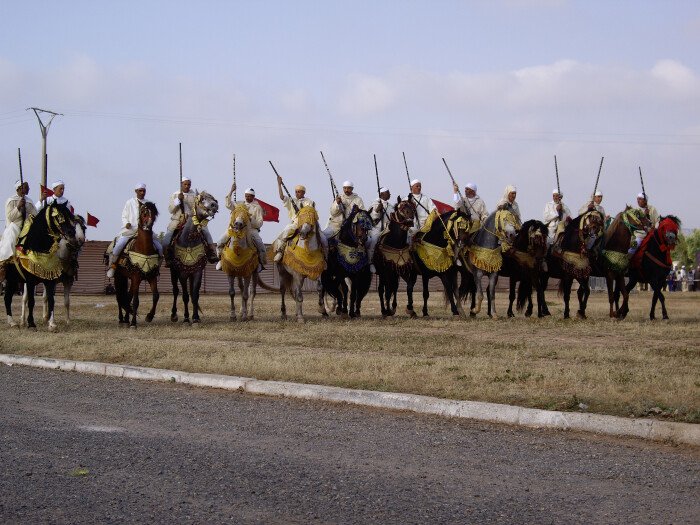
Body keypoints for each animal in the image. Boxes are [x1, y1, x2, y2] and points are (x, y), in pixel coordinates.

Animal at [168, 191, 217, 324]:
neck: (189, 239)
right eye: (202, 199)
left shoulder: (197, 271)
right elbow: (185, 296)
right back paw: (174, 315)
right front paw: (186, 317)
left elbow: (194, 295)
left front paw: (195, 317)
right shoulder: (182, 273)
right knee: (176, 291)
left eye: (213, 198)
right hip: (173, 271)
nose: (214, 205)